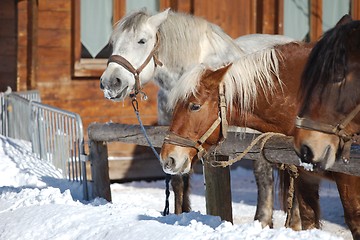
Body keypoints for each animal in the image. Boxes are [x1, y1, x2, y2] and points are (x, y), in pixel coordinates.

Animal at [100, 8, 294, 228]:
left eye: (142, 40)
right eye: (113, 43)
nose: (110, 82)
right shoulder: (178, 141)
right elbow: (178, 179)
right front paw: (180, 214)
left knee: (266, 176)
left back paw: (264, 220)